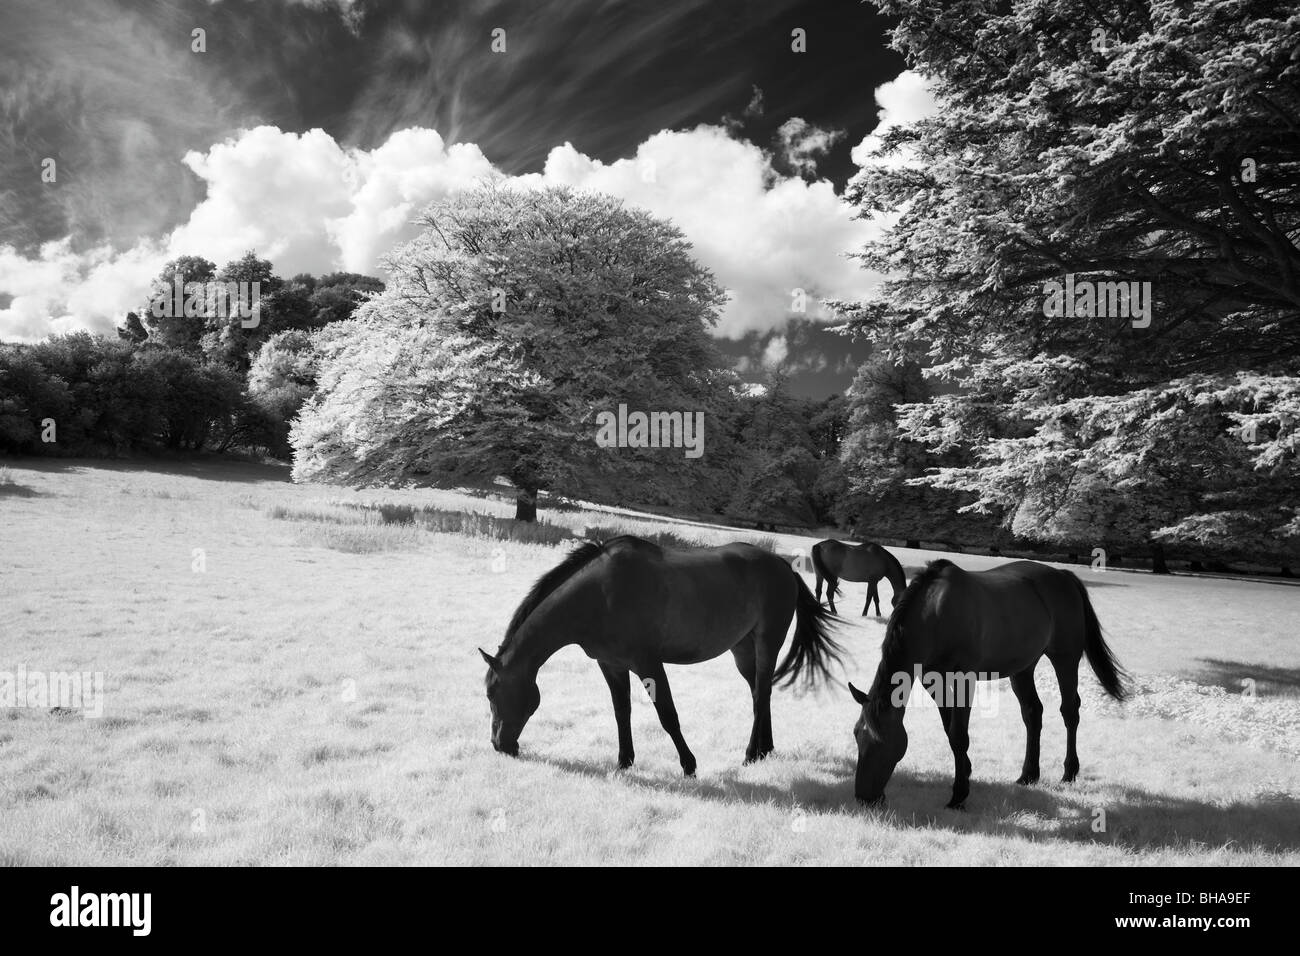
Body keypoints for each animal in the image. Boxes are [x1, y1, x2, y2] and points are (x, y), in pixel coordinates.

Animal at [478, 538, 842, 780]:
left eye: (492, 694)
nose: (499, 745)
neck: (599, 595)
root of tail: (782, 565)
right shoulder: (611, 665)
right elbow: (621, 712)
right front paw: (624, 762)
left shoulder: (648, 664)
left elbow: (668, 715)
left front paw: (689, 765)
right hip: (742, 648)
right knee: (758, 693)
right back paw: (765, 750)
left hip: (768, 642)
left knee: (761, 692)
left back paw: (751, 754)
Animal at [847, 556, 1123, 811]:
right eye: (857, 735)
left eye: (882, 742)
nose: (864, 798)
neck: (935, 613)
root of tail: (1064, 576)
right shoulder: (932, 680)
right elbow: (949, 729)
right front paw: (967, 771)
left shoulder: (964, 679)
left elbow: (959, 734)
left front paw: (959, 795)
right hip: (1022, 668)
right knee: (1033, 712)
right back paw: (1028, 774)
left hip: (1065, 658)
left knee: (1069, 711)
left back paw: (1069, 772)